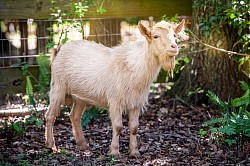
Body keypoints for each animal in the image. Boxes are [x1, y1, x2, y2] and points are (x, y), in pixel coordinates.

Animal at [45, 19, 186, 156]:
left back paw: (84, 145)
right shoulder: (115, 101)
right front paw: (114, 152)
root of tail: (60, 50)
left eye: (175, 35)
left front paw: (134, 152)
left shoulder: (136, 102)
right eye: (156, 36)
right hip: (58, 86)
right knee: (50, 115)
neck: (135, 68)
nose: (174, 47)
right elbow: (118, 126)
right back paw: (51, 146)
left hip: (80, 97)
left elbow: (134, 127)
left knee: (74, 116)